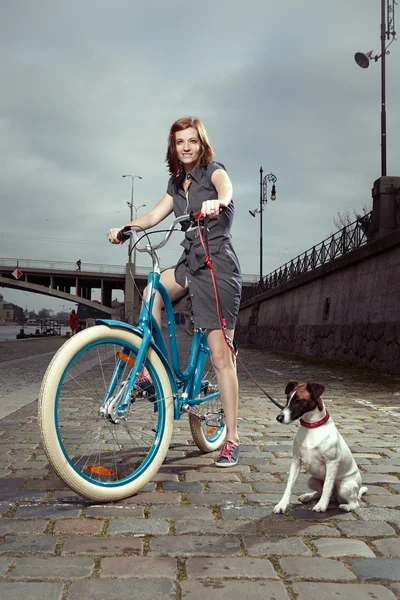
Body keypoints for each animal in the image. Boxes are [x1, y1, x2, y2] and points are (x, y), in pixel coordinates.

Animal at [274, 382, 368, 512]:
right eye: (287, 399)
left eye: (298, 401)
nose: (279, 418)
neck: (311, 426)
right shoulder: (296, 461)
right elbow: (289, 485)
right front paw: (282, 505)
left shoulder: (332, 462)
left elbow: (327, 486)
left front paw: (322, 505)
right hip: (311, 480)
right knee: (319, 492)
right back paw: (308, 496)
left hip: (344, 486)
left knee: (355, 503)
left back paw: (346, 506)